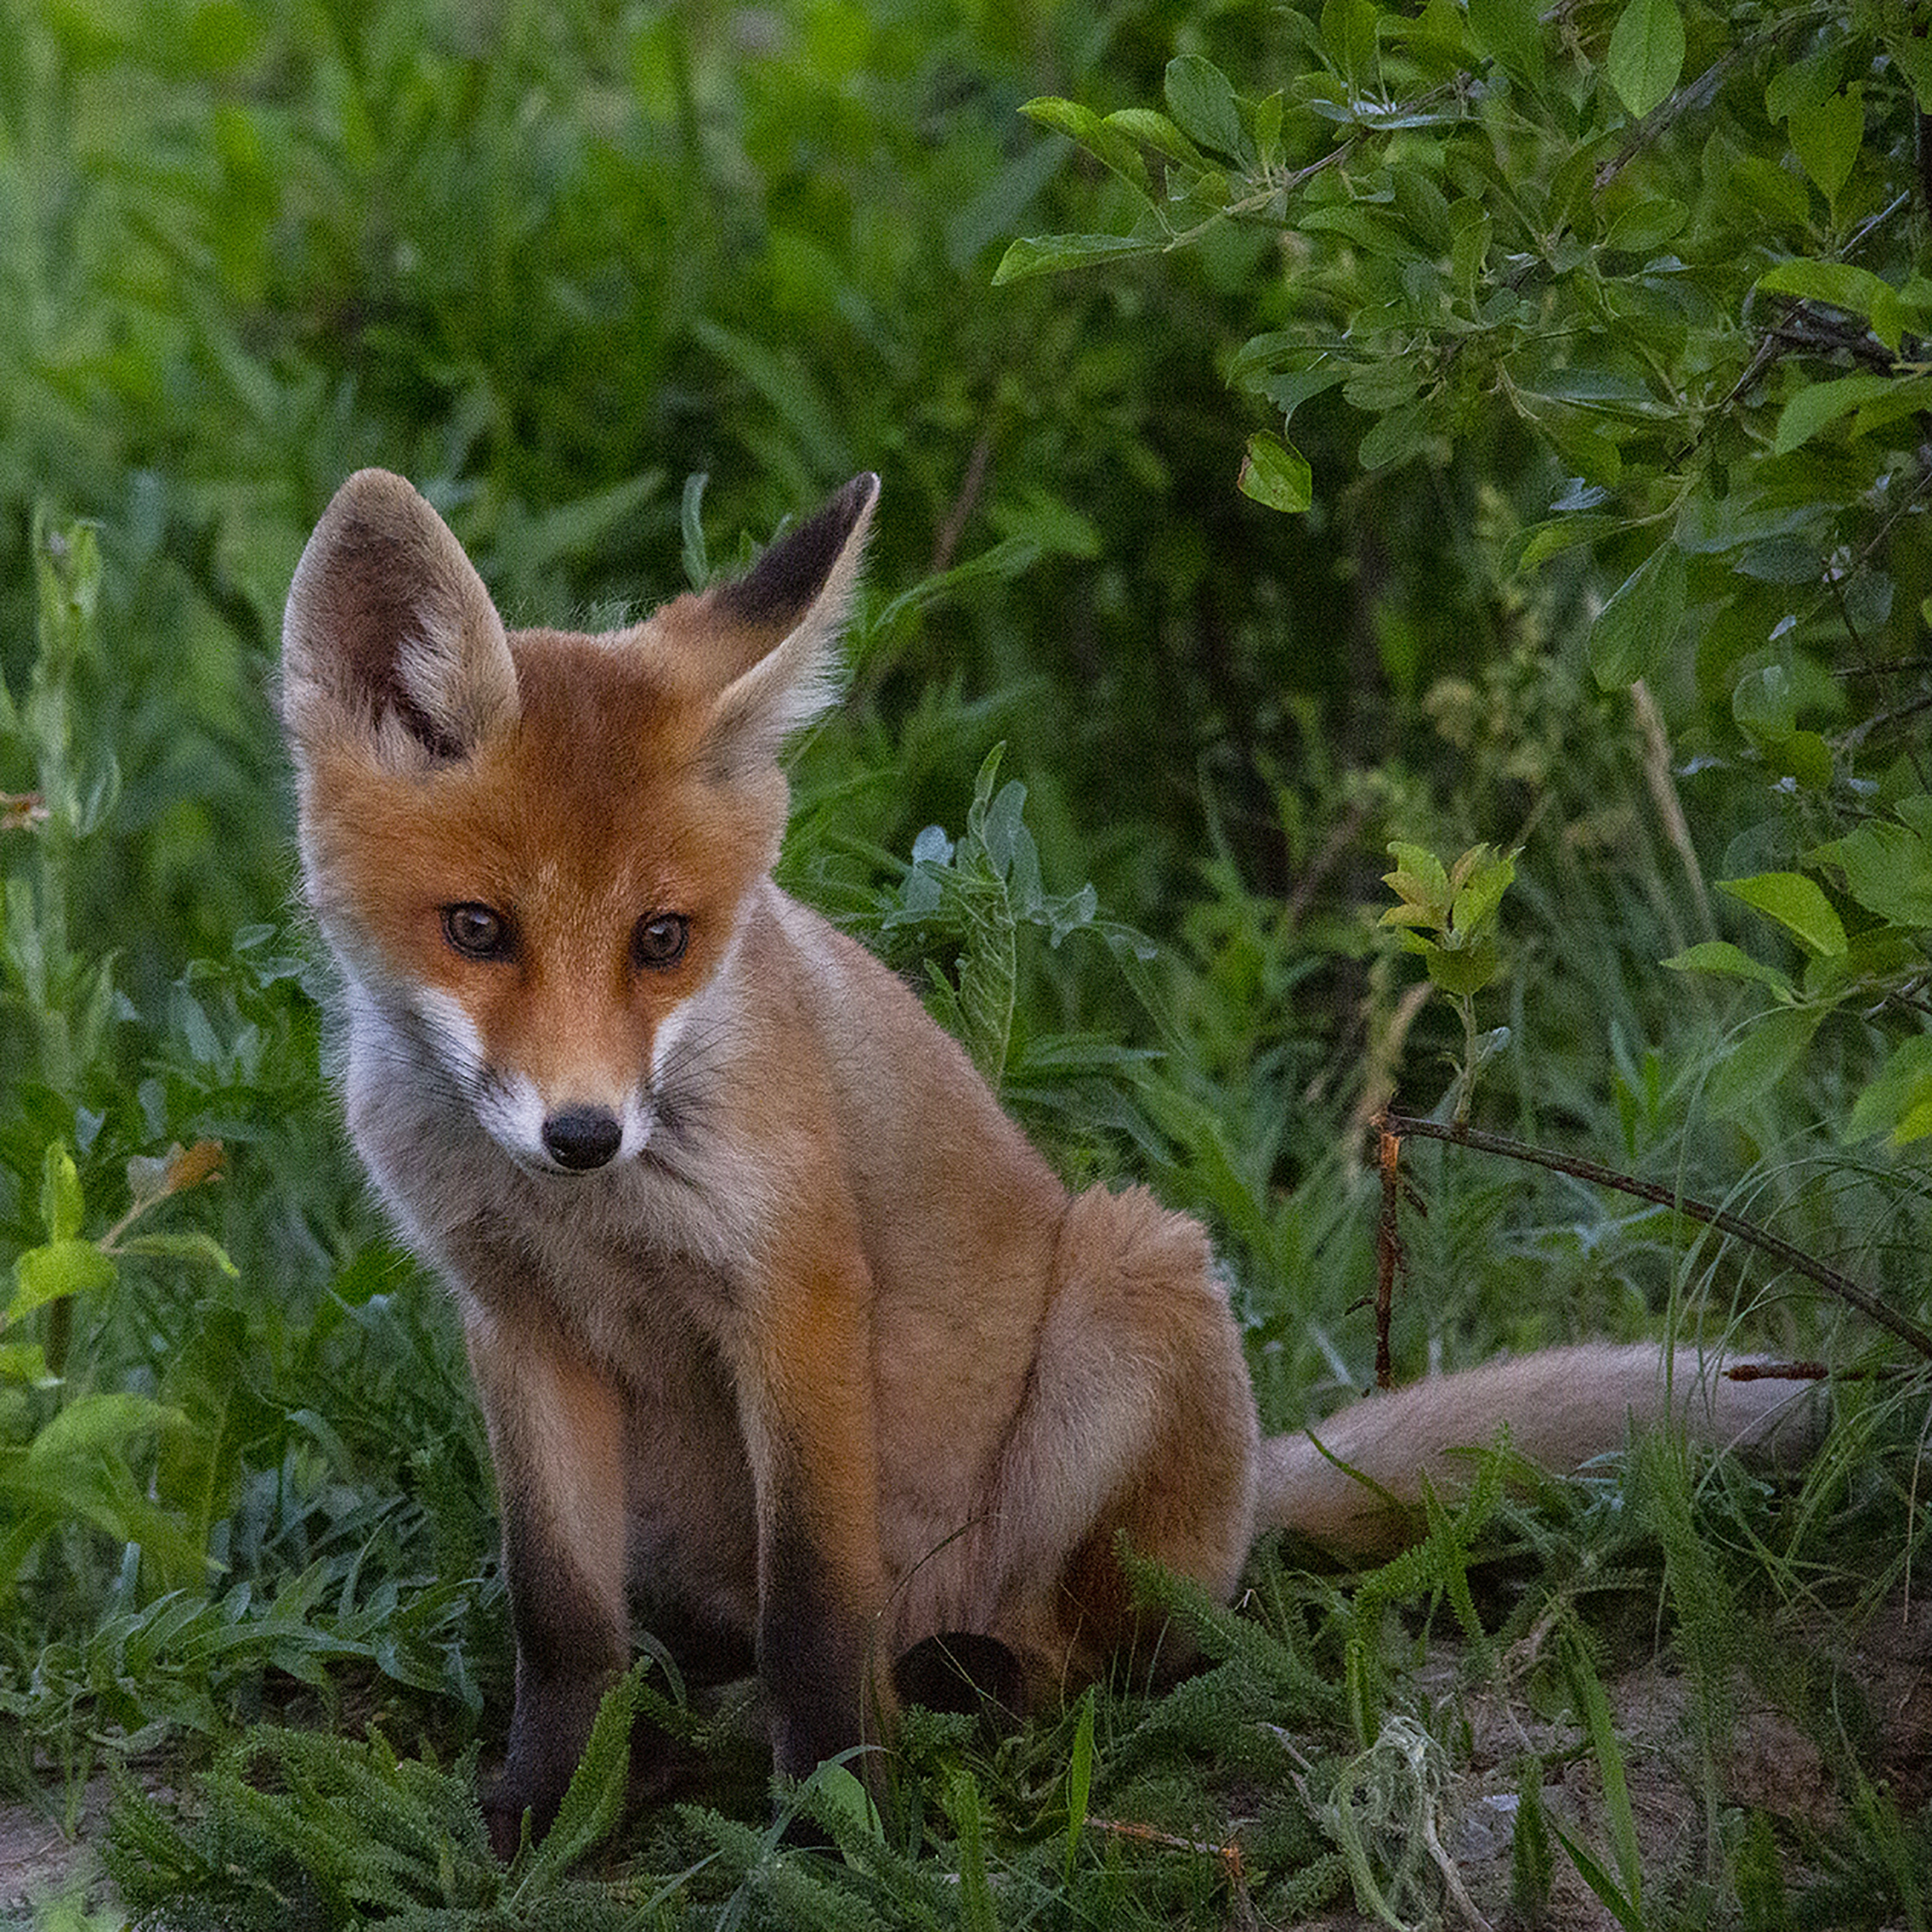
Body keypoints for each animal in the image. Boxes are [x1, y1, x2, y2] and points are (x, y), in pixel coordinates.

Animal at [282, 468, 1808, 1855]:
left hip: (1137, 1282)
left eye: (663, 939)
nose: (585, 1135)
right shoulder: (516, 1322)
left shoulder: (798, 1293)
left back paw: (975, 1679)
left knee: (1121, 1653)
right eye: (477, 930)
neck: (586, 1229)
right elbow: (557, 1617)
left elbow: (815, 1607)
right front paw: (552, 1803)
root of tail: (1246, 1497)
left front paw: (838, 1817)